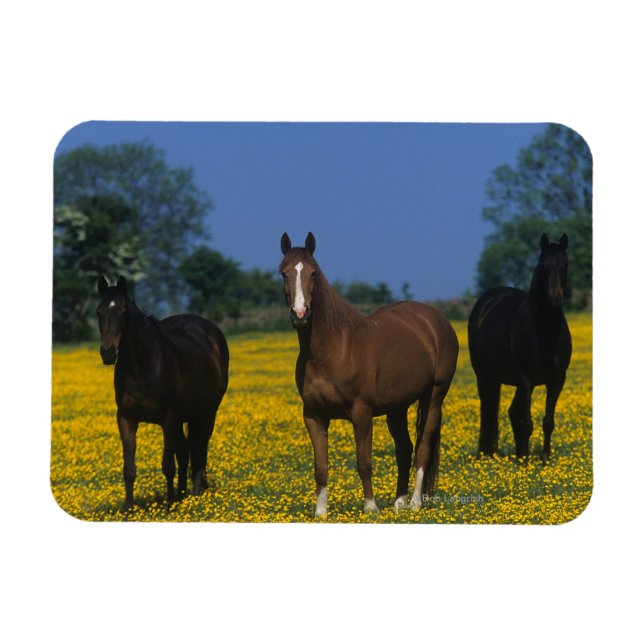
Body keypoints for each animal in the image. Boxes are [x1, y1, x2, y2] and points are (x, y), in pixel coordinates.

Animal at [96, 276, 229, 509]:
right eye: (98, 312)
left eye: (123, 312)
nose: (108, 353)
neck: (142, 366)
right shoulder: (126, 418)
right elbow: (129, 468)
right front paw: (128, 508)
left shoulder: (168, 418)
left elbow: (168, 464)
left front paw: (169, 505)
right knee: (186, 451)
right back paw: (183, 492)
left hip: (206, 414)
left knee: (199, 448)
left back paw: (194, 491)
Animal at [279, 232, 459, 516]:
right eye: (283, 273)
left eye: (313, 273)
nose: (300, 313)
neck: (330, 350)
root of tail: (435, 320)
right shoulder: (314, 416)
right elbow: (321, 467)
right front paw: (320, 512)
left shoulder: (361, 412)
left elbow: (364, 462)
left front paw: (370, 507)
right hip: (397, 407)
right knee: (404, 449)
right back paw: (399, 502)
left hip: (434, 397)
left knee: (422, 449)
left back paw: (415, 502)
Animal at [467, 233, 572, 461]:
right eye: (542, 265)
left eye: (565, 264)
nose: (554, 298)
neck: (545, 332)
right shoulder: (526, 379)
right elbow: (527, 423)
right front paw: (525, 462)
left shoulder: (557, 380)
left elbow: (548, 422)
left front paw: (544, 459)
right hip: (485, 376)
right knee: (488, 410)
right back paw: (487, 454)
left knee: (511, 412)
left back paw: (515, 453)